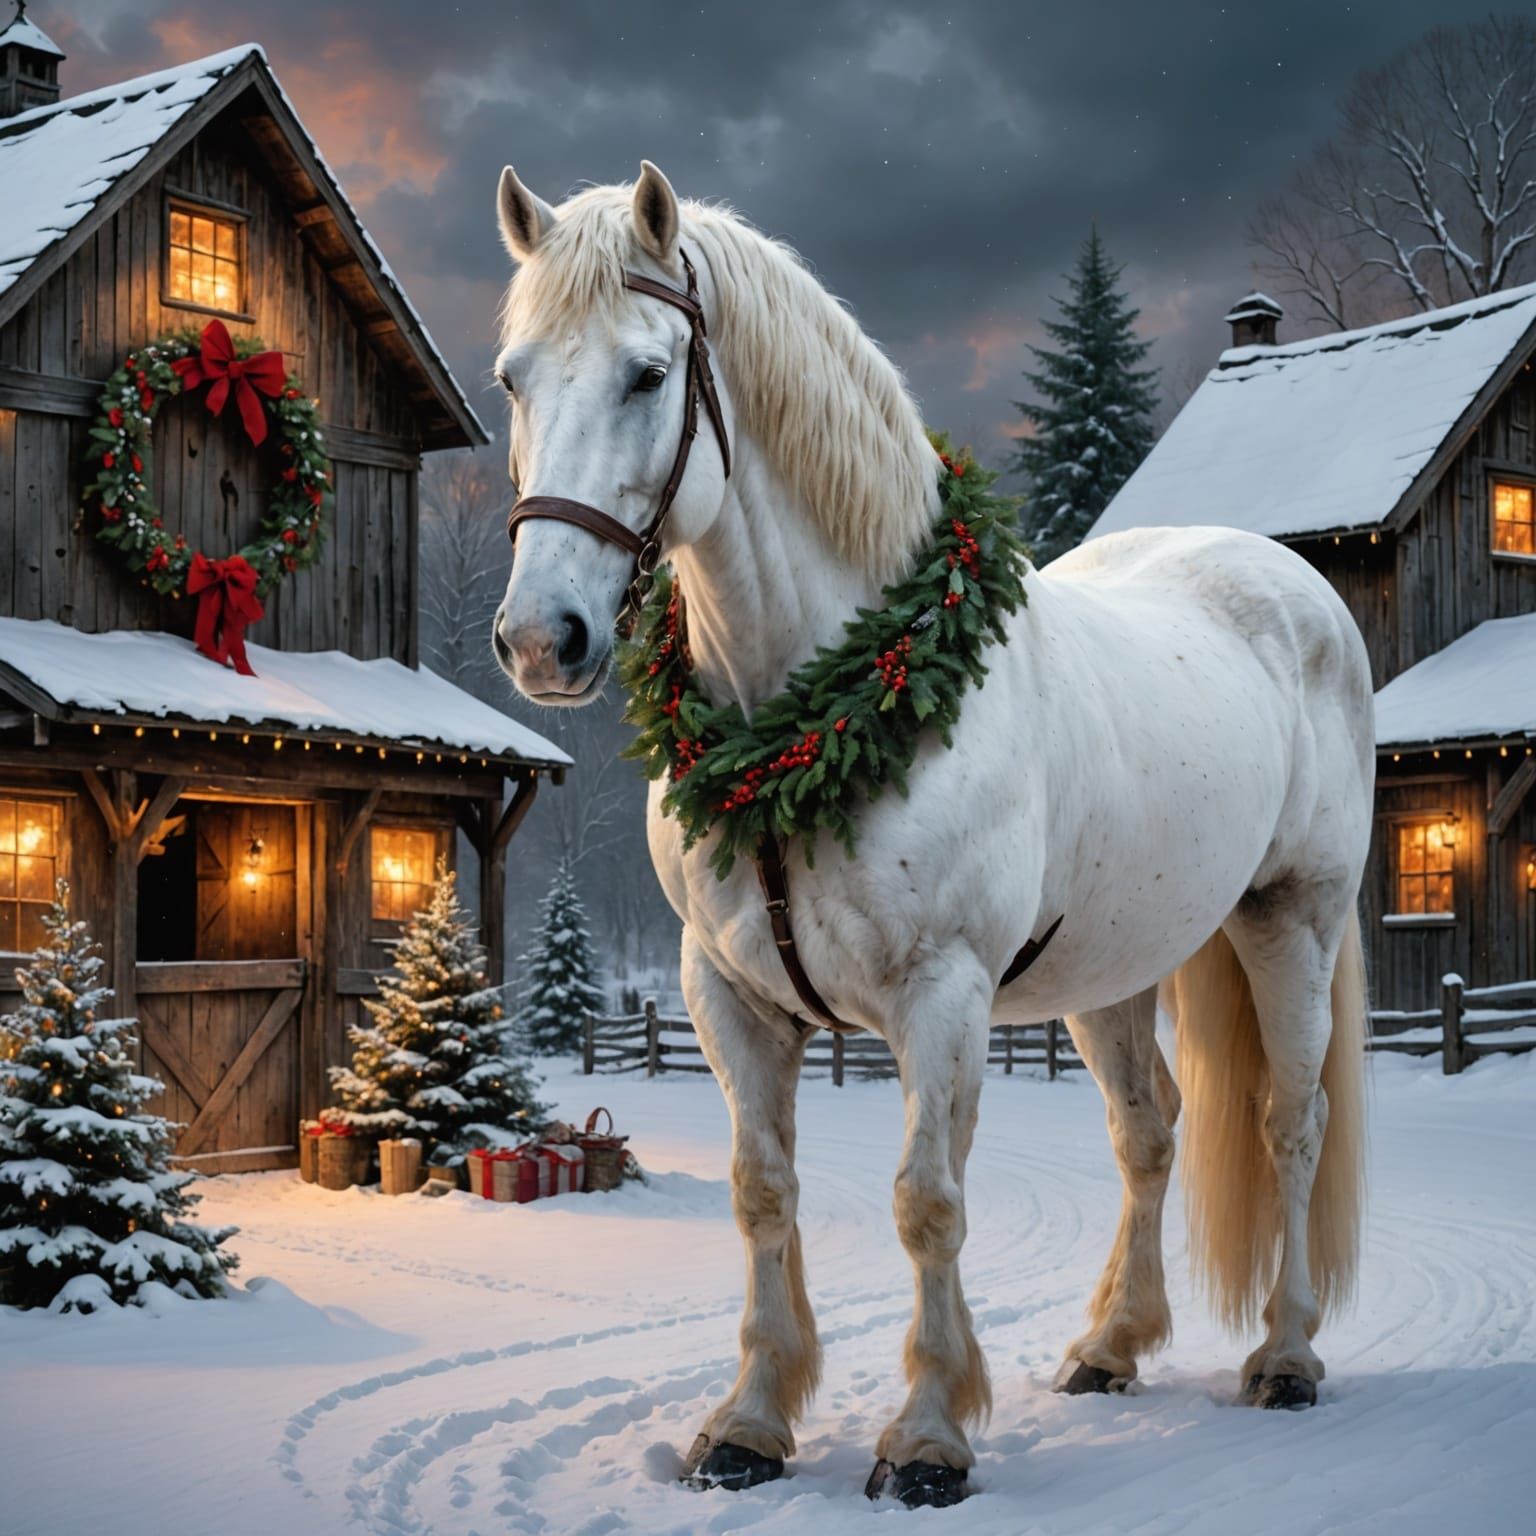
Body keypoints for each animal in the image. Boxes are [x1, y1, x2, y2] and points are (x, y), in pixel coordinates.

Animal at [488, 160, 1372, 1508]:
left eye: (646, 373)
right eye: (513, 378)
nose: (545, 639)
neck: (804, 721)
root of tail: (1294, 587)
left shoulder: (939, 994)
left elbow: (927, 1204)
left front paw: (928, 1438)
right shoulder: (725, 996)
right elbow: (761, 1193)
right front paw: (750, 1423)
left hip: (1294, 923)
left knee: (1292, 1122)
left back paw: (1285, 1355)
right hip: (1113, 970)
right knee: (1148, 1131)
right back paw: (1112, 1346)